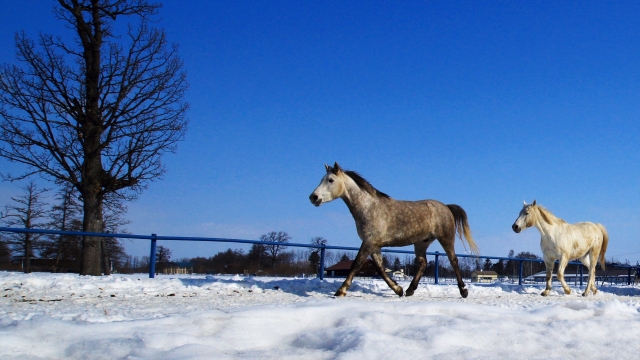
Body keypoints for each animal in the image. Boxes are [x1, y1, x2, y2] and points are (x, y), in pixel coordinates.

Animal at [308, 163, 478, 298]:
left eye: (330, 180)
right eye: (321, 179)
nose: (313, 197)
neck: (368, 207)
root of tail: (446, 207)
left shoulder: (369, 242)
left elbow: (356, 264)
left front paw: (341, 291)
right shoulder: (374, 245)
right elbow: (379, 268)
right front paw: (398, 289)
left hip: (446, 238)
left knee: (453, 260)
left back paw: (463, 290)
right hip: (421, 243)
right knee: (422, 263)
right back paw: (410, 290)